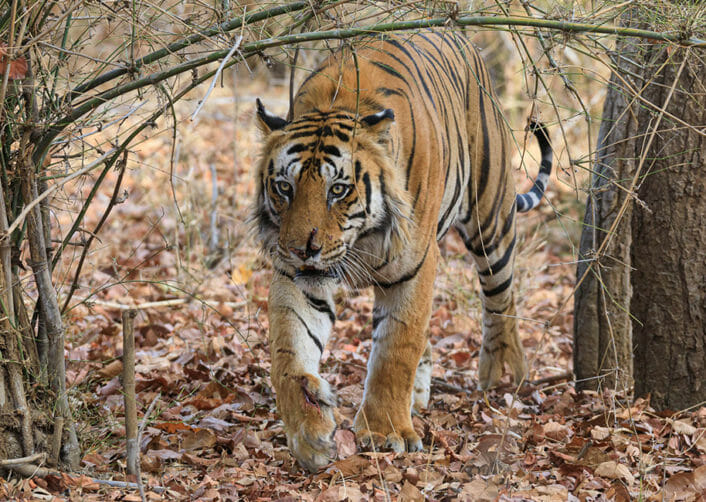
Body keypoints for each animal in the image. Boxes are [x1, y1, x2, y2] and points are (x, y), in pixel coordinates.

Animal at [250, 30, 552, 470]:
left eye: (337, 189)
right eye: (284, 187)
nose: (301, 249)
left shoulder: (416, 266)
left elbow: (396, 350)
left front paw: (384, 433)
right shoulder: (297, 277)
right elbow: (288, 353)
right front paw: (309, 432)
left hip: (490, 217)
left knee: (501, 297)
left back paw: (502, 371)